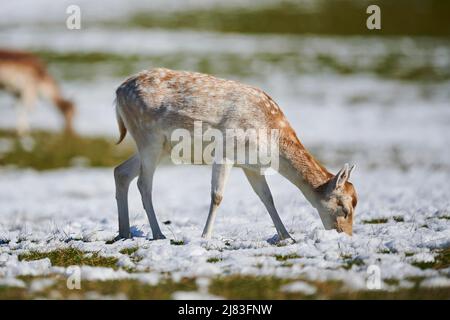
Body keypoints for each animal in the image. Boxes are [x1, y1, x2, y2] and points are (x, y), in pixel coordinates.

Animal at [113, 68, 358, 242]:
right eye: (344, 209)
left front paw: (287, 236)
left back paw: (124, 232)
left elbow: (267, 198)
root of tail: (117, 92)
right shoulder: (226, 152)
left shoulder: (252, 167)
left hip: (161, 147)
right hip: (148, 138)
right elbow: (217, 196)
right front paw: (205, 237)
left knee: (121, 171)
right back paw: (158, 234)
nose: (346, 236)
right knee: (144, 183)